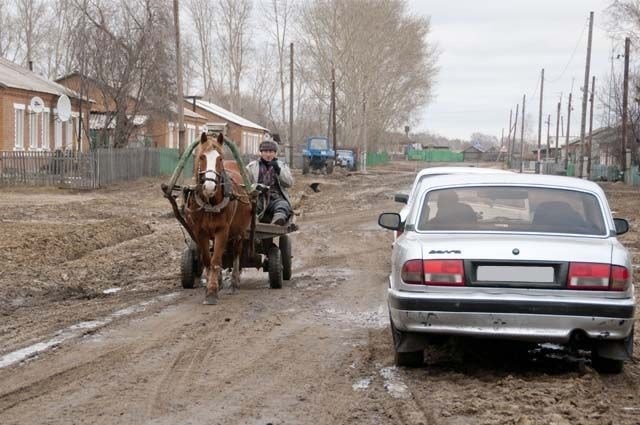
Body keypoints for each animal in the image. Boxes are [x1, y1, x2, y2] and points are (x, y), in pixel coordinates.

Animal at [185, 131, 252, 304]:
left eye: (219, 158)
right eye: (202, 156)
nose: (209, 187)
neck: (210, 203)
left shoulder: (223, 230)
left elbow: (215, 260)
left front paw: (212, 292)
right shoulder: (200, 232)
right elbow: (208, 260)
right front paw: (212, 284)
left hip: (239, 232)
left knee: (236, 253)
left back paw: (234, 283)